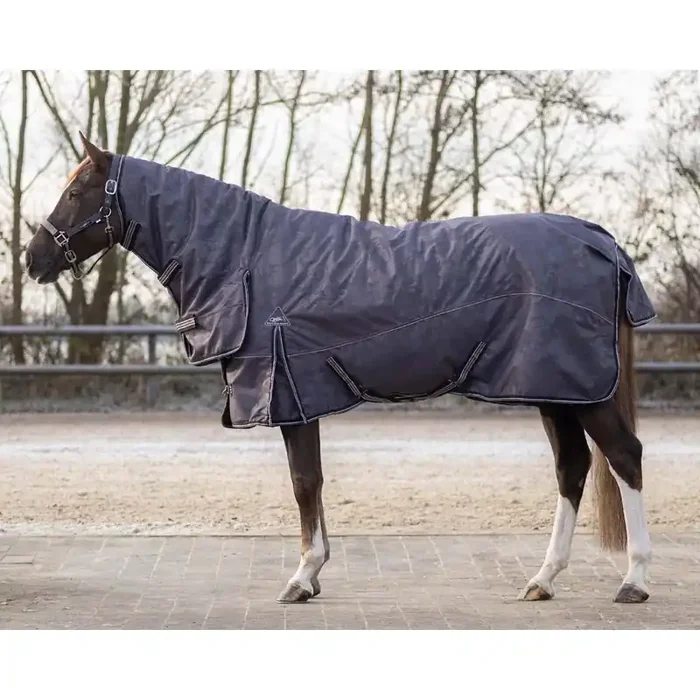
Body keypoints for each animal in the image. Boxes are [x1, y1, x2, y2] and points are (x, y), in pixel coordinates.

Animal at [25, 131, 656, 605]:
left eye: (77, 190)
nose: (34, 259)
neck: (245, 256)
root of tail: (602, 241)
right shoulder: (300, 393)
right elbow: (314, 482)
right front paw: (314, 572)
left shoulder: (290, 392)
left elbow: (304, 483)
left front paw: (302, 577)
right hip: (555, 387)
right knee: (572, 468)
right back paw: (543, 580)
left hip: (583, 390)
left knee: (624, 457)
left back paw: (634, 580)